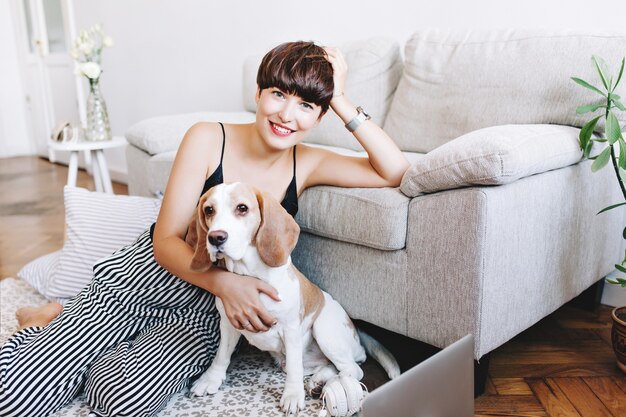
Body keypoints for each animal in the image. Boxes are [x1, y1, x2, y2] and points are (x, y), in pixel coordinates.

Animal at [186, 184, 400, 414]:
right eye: (209, 210)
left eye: (242, 208)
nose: (215, 237)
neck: (251, 275)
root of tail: (357, 333)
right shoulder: (228, 324)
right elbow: (221, 356)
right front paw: (211, 379)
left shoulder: (290, 330)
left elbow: (295, 370)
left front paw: (293, 395)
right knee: (332, 366)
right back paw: (319, 380)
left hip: (324, 328)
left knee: (353, 369)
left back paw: (329, 385)